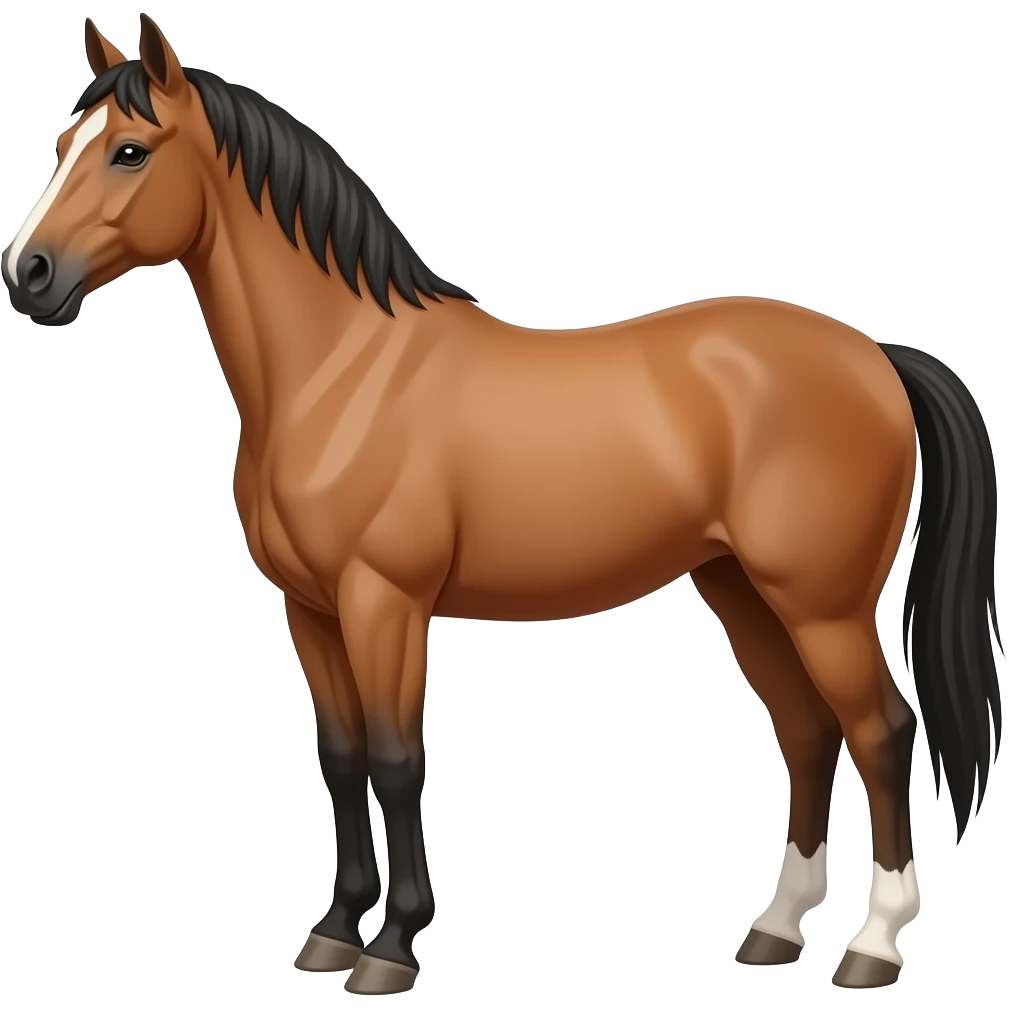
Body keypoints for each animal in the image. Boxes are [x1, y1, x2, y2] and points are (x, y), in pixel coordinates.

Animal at [2, 15, 1002, 995]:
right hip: (741, 591)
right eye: (60, 144)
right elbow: (342, 759)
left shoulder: (384, 602)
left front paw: (391, 947)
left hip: (821, 605)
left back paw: (872, 945)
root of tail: (873, 355)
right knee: (805, 732)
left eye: (129, 150)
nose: (29, 274)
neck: (342, 371)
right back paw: (774, 929)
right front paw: (331, 933)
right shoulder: (310, 609)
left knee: (880, 732)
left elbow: (397, 760)